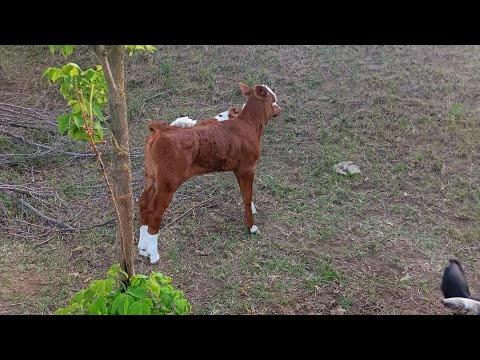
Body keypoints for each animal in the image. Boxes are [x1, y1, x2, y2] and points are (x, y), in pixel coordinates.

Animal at [138, 81, 282, 262]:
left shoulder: (237, 169)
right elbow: (247, 196)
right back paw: (153, 254)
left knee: (143, 203)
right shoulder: (247, 167)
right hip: (168, 181)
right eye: (274, 99)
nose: (280, 109)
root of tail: (161, 128)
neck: (249, 124)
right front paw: (251, 227)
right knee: (155, 211)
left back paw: (142, 248)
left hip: (151, 175)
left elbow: (246, 192)